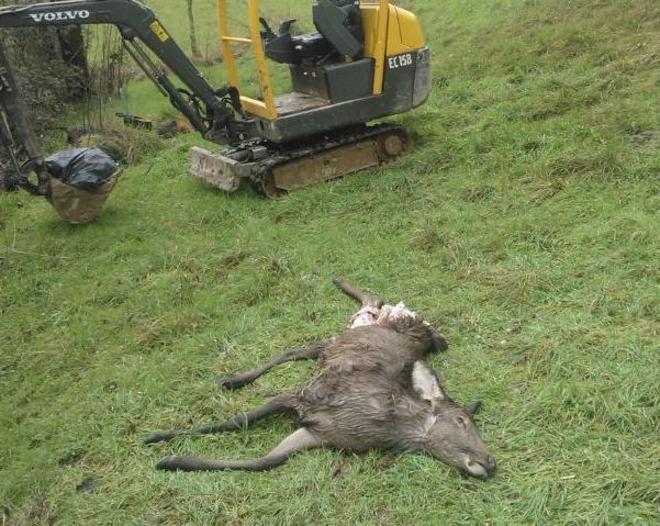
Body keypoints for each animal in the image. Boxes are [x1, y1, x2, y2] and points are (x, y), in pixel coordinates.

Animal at [145, 278, 496, 479]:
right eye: (463, 420)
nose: (490, 462)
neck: (381, 427)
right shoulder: (302, 394)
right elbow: (239, 420)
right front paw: (157, 438)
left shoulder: (320, 432)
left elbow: (264, 462)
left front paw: (173, 460)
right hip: (338, 340)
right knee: (305, 342)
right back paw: (231, 380)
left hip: (336, 341)